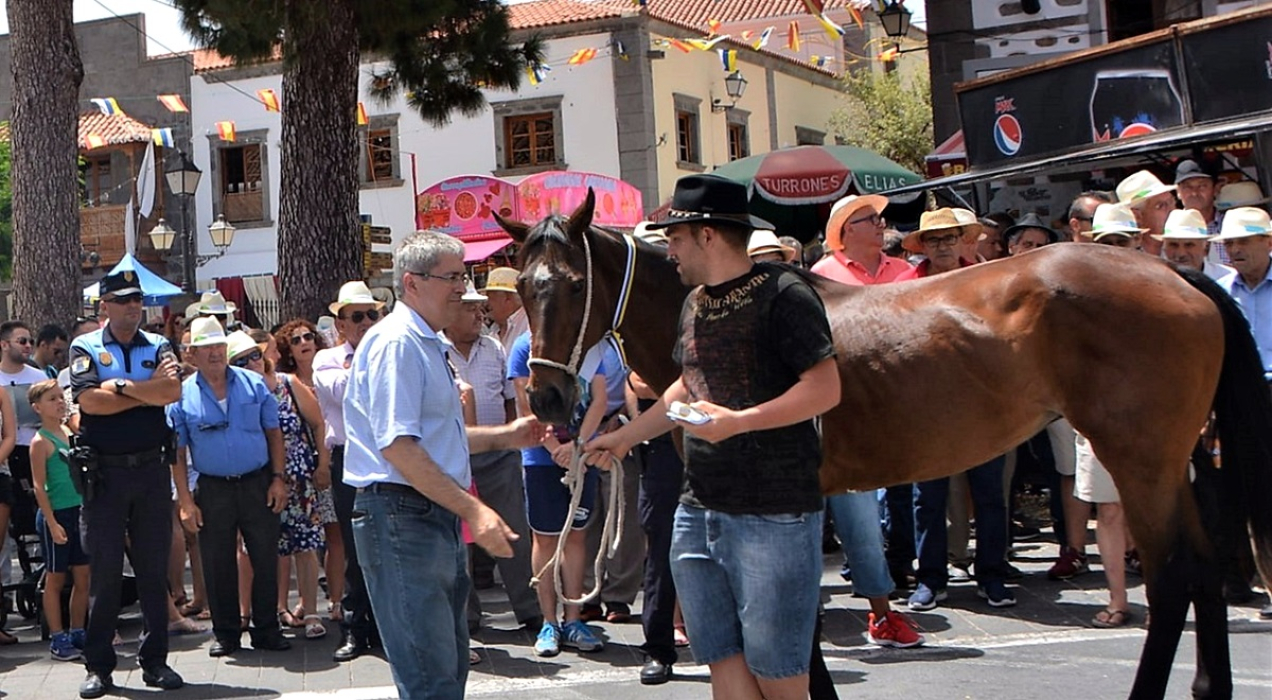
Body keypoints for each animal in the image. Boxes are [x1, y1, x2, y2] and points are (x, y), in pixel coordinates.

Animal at [496, 193, 1272, 700]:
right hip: (1174, 460)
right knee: (1202, 566)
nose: (547, 399)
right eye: (525, 289)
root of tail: (1171, 271)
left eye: (571, 285)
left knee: (1173, 575)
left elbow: (790, 628)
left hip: (1139, 457)